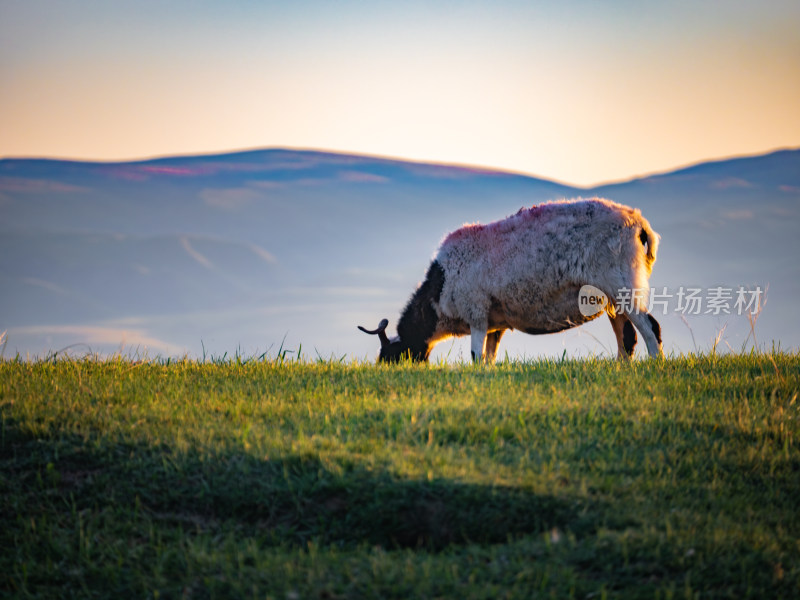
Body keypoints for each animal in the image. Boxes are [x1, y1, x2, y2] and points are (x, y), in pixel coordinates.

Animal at [358, 199, 664, 364]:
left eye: (392, 355)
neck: (440, 289)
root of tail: (639, 224)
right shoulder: (496, 323)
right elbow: (489, 356)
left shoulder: (477, 313)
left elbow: (476, 356)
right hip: (610, 297)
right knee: (627, 337)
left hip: (622, 284)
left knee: (650, 328)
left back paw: (655, 365)